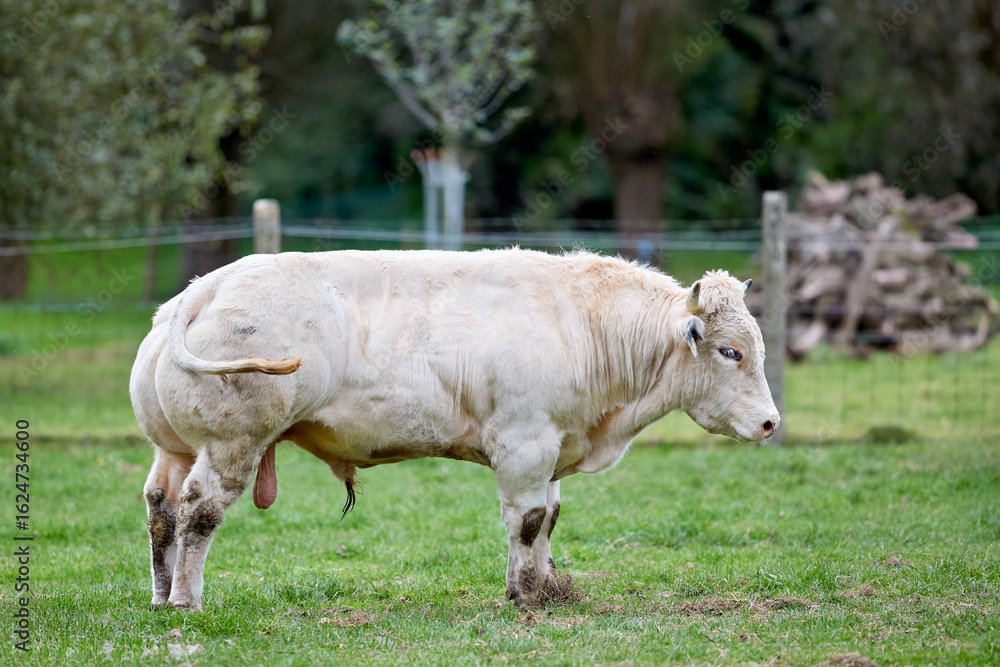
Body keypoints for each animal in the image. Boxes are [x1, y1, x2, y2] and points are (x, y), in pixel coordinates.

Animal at [129, 248, 779, 611]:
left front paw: (548, 589)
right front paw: (526, 596)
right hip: (231, 443)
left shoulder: (551, 447)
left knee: (162, 507)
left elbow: (549, 519)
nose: (772, 422)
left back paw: (160, 595)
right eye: (730, 352)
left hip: (175, 448)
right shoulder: (523, 443)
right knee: (199, 510)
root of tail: (203, 288)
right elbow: (527, 521)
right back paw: (187, 600)